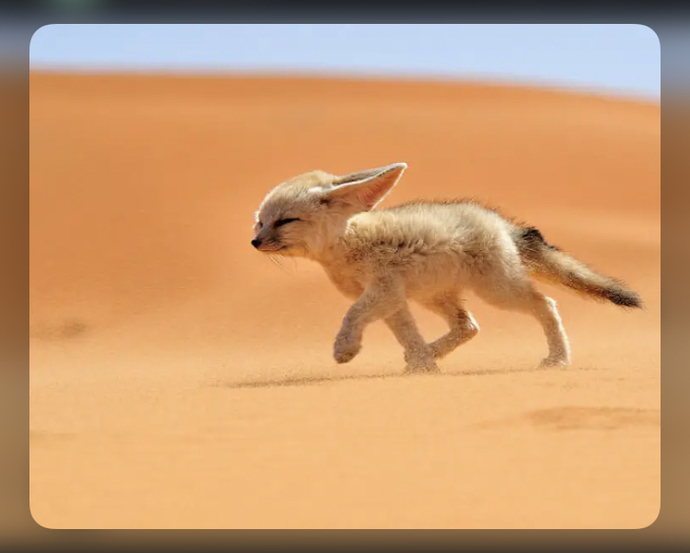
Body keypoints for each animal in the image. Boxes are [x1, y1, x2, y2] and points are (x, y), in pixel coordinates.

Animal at [251, 162, 642, 373]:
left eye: (285, 221)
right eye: (260, 222)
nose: (255, 242)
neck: (348, 243)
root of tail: (500, 222)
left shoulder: (382, 290)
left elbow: (352, 315)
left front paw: (345, 348)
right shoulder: (393, 299)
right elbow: (407, 334)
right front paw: (423, 366)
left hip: (498, 291)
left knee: (545, 304)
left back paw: (559, 359)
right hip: (435, 296)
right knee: (468, 326)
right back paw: (431, 353)